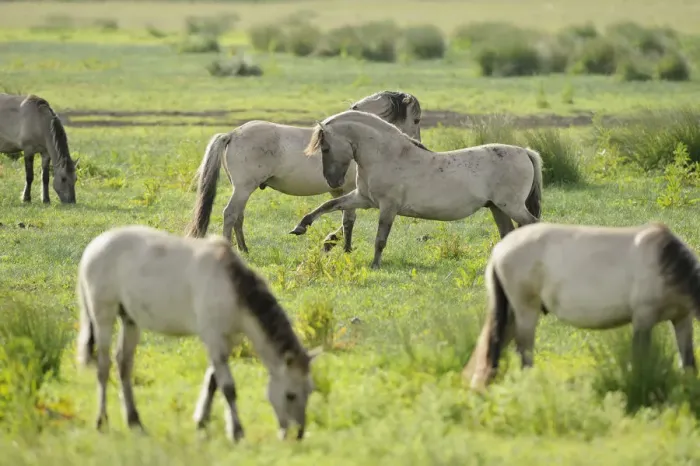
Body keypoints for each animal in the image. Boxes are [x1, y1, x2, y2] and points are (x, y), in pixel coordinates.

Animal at [75, 225, 322, 442]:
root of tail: (93, 247)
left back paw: (134, 421)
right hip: (103, 316)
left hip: (130, 320)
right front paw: (236, 431)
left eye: (309, 391)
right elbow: (228, 387)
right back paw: (101, 421)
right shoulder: (213, 338)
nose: (297, 434)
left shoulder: (229, 339)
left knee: (123, 364)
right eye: (290, 395)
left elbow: (213, 382)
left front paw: (201, 421)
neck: (231, 286)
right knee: (103, 366)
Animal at [185, 90, 423, 254]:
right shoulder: (351, 190)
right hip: (243, 188)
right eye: (417, 119)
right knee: (230, 214)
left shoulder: (340, 191)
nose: (418, 144)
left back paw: (244, 249)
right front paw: (341, 247)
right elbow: (348, 219)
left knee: (238, 217)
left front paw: (331, 243)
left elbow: (343, 217)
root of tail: (232, 134)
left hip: (243, 190)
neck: (351, 138)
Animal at [288, 109, 542, 269]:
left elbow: (380, 238)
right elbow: (328, 205)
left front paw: (375, 265)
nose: (333, 182)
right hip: (497, 207)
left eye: (325, 148)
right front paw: (300, 227)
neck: (387, 156)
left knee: (532, 225)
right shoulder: (364, 199)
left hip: (511, 206)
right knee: (508, 233)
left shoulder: (388, 207)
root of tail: (525, 152)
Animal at [462, 221, 700, 391]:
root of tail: (499, 250)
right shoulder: (643, 319)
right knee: (523, 351)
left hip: (511, 313)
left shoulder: (682, 319)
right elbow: (641, 357)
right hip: (525, 310)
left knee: (494, 345)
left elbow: (688, 361)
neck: (666, 263)